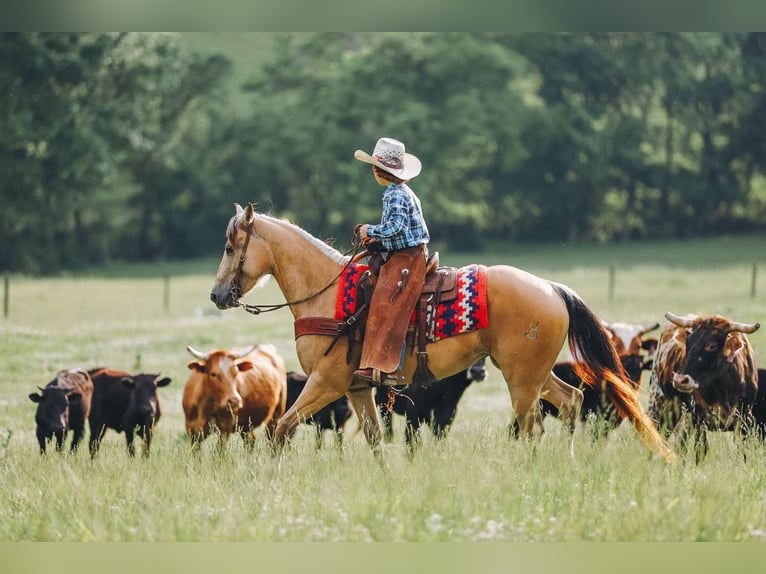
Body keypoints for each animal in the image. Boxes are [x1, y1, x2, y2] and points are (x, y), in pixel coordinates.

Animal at [210, 205, 680, 466]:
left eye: (231, 247)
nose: (216, 295)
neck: (328, 294)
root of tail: (551, 288)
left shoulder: (326, 382)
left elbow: (281, 429)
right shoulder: (358, 389)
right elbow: (375, 440)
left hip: (521, 380)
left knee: (531, 426)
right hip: (532, 373)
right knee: (571, 402)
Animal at [648, 312, 760, 462]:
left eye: (712, 346)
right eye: (688, 342)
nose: (680, 380)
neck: (725, 389)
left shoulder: (744, 420)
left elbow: (742, 452)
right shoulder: (700, 420)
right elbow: (701, 451)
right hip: (659, 406)